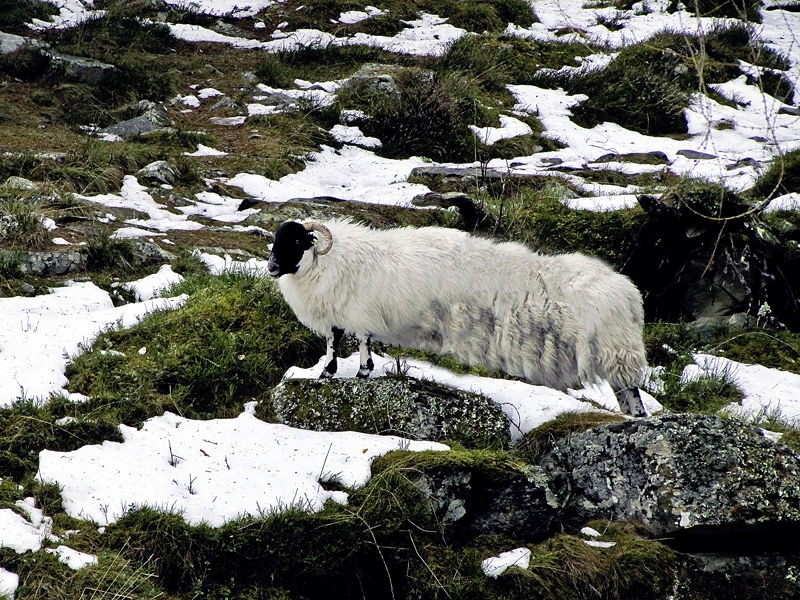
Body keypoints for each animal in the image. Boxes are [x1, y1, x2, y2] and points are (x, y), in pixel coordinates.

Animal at [268, 219, 648, 418]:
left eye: (298, 240)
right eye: (275, 240)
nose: (271, 267)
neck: (330, 262)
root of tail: (629, 292)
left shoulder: (361, 313)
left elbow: (360, 343)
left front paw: (361, 373)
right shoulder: (338, 313)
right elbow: (333, 342)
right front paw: (327, 372)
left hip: (616, 349)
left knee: (630, 388)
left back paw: (638, 418)